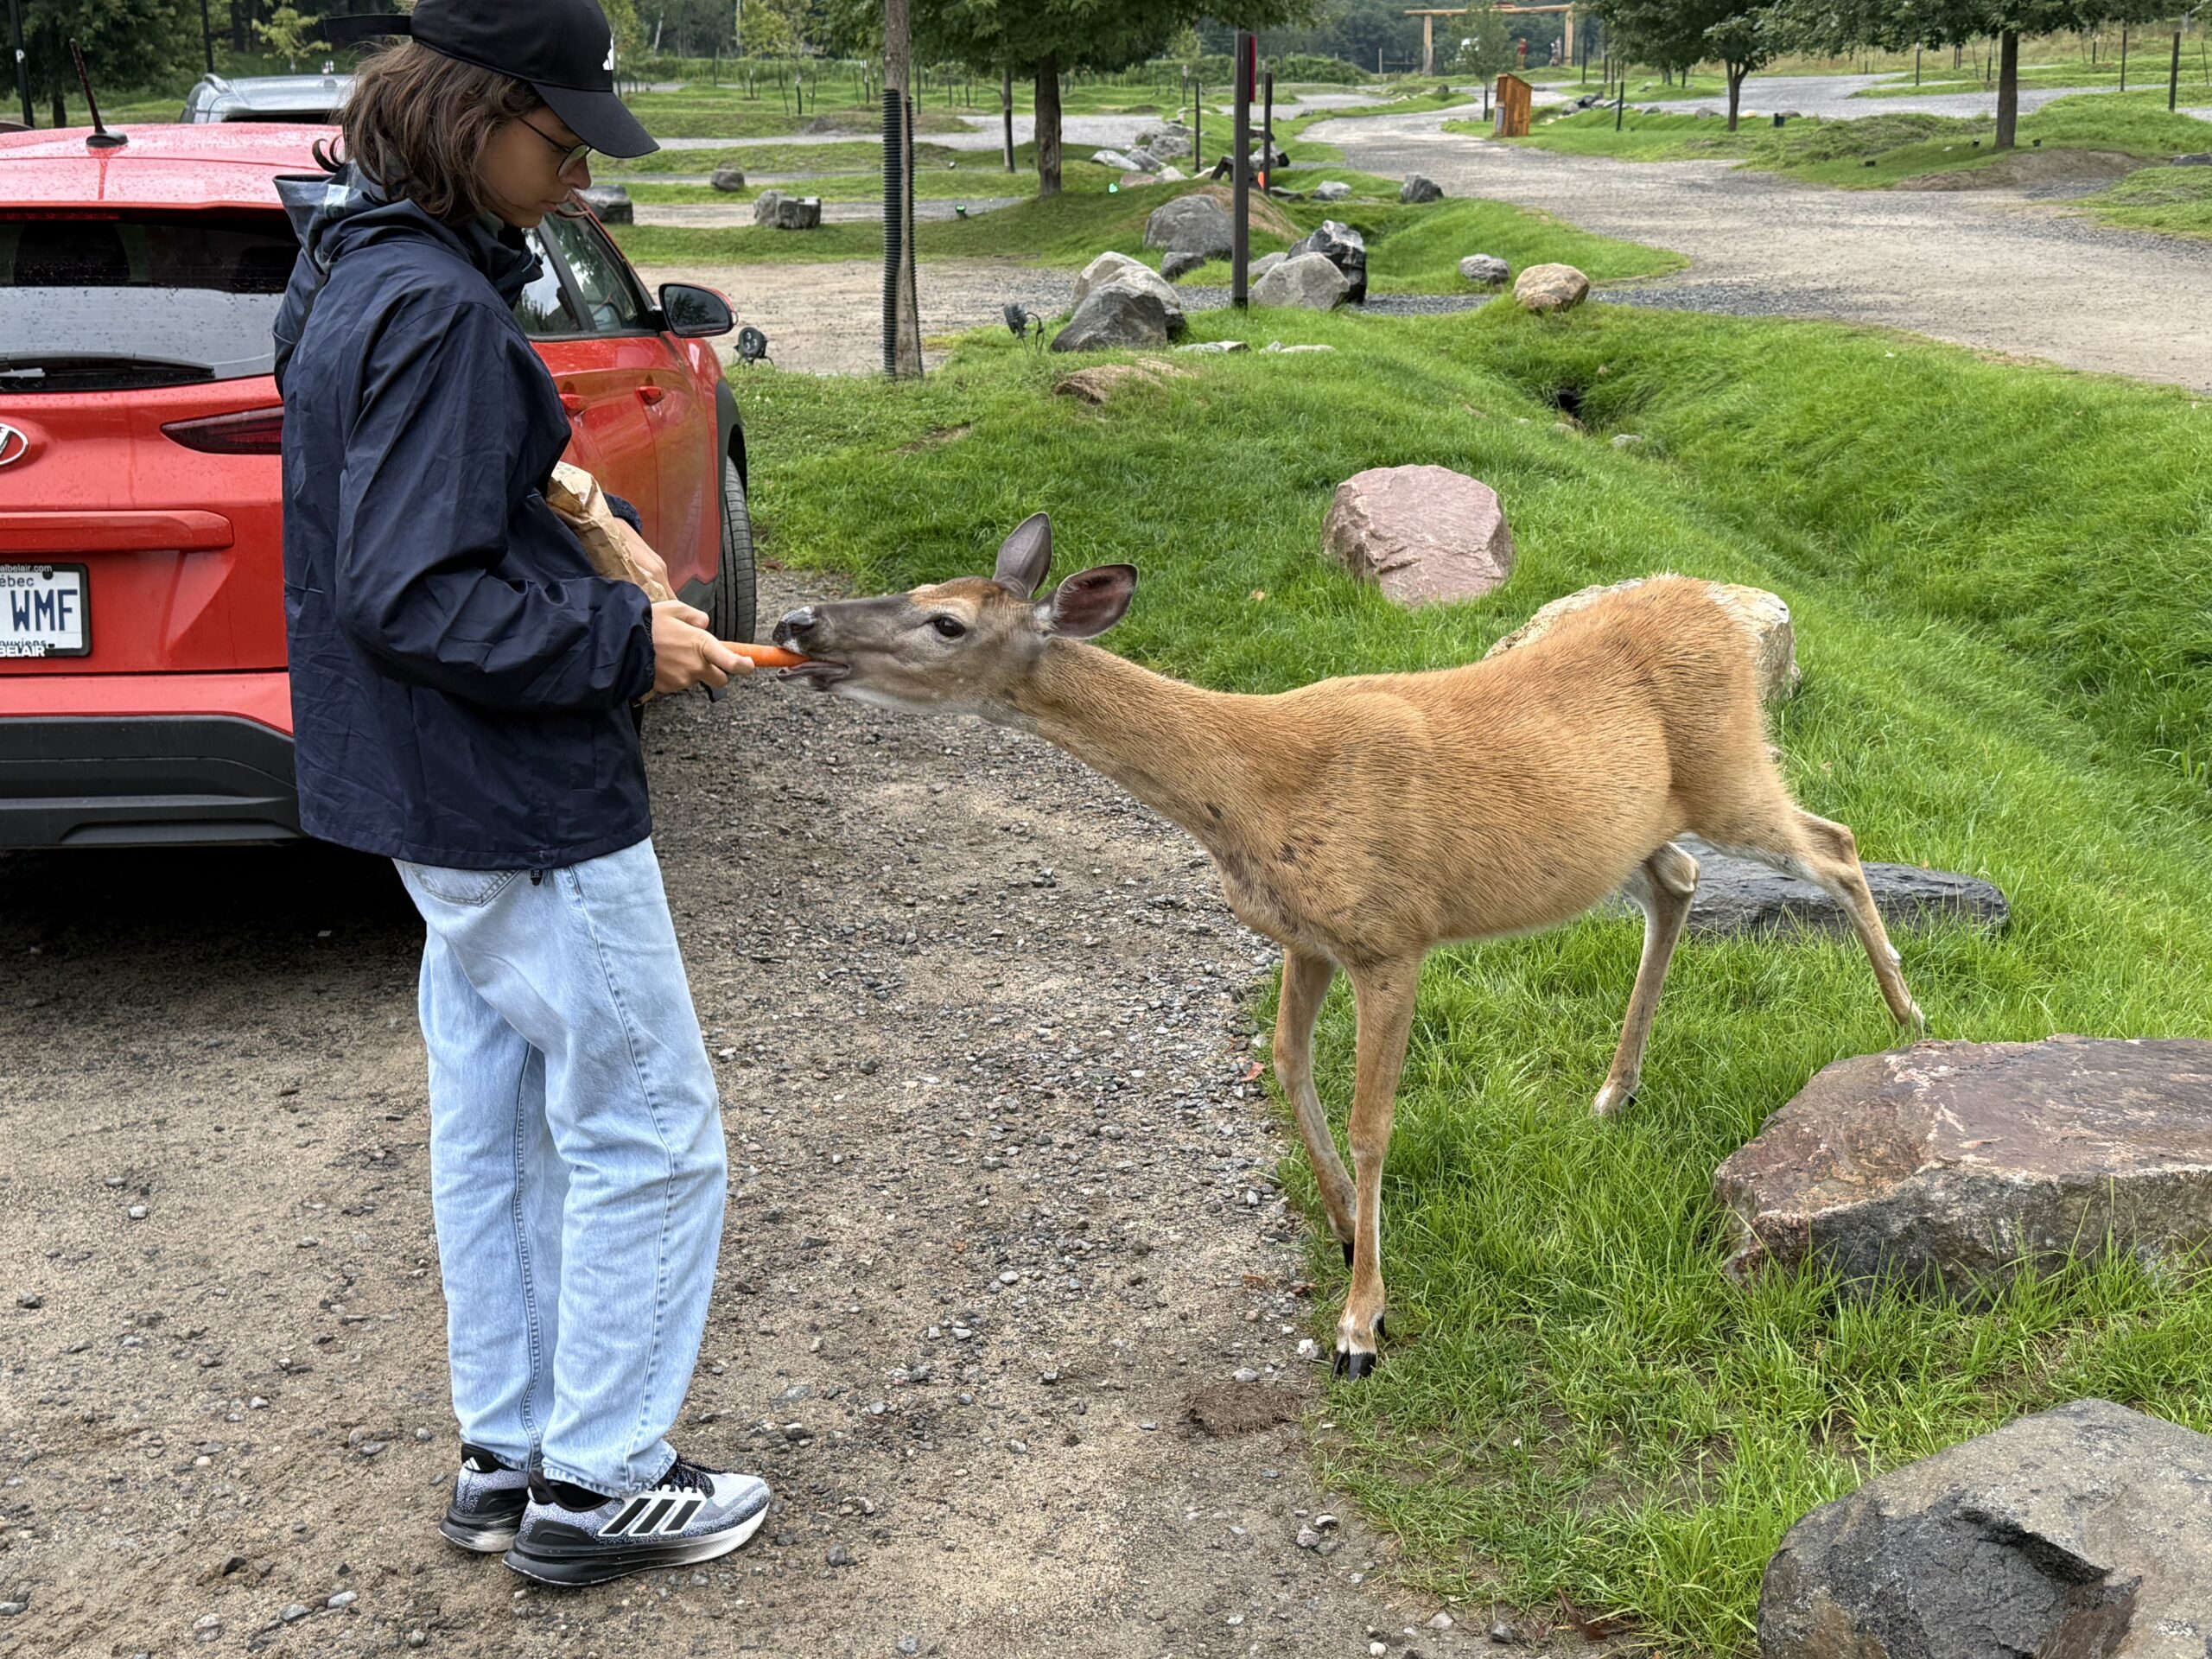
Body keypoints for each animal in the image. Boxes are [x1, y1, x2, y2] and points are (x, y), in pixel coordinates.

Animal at [771, 514, 1925, 1379]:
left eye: (946, 621)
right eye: (918, 587)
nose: (795, 621)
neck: (1248, 792)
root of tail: (1716, 606)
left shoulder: (1390, 937)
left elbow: (1375, 1126)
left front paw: (1361, 1323)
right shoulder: (1301, 935)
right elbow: (1286, 1066)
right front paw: (1337, 1232)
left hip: (1731, 764)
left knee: (1836, 844)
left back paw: (1908, 1023)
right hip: (1632, 827)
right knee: (1680, 883)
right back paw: (1614, 1090)